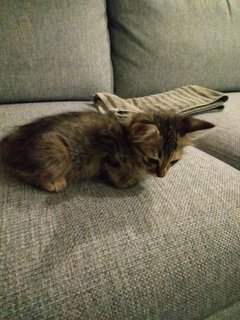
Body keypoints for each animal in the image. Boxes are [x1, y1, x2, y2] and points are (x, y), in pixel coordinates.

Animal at [0, 110, 214, 191]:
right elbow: (115, 173)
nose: (161, 176)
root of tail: (10, 140)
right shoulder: (108, 150)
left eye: (174, 162)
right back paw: (54, 182)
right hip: (59, 153)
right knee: (20, 171)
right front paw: (125, 181)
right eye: (152, 160)